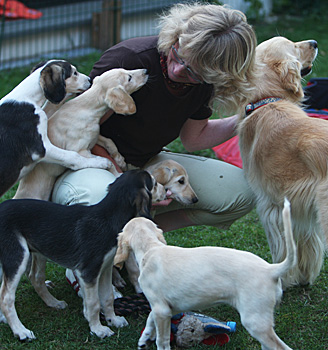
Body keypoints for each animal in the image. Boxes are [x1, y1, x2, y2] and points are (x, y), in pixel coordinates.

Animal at [0, 59, 110, 197]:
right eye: (74, 73)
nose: (90, 80)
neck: (26, 98)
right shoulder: (41, 148)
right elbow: (73, 156)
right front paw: (100, 162)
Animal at [0, 170, 165, 340]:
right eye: (154, 183)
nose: (166, 190)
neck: (108, 217)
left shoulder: (104, 269)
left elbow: (107, 298)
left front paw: (113, 320)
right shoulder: (88, 272)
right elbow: (94, 303)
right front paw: (98, 329)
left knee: (35, 278)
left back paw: (52, 303)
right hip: (17, 255)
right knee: (6, 297)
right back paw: (21, 331)